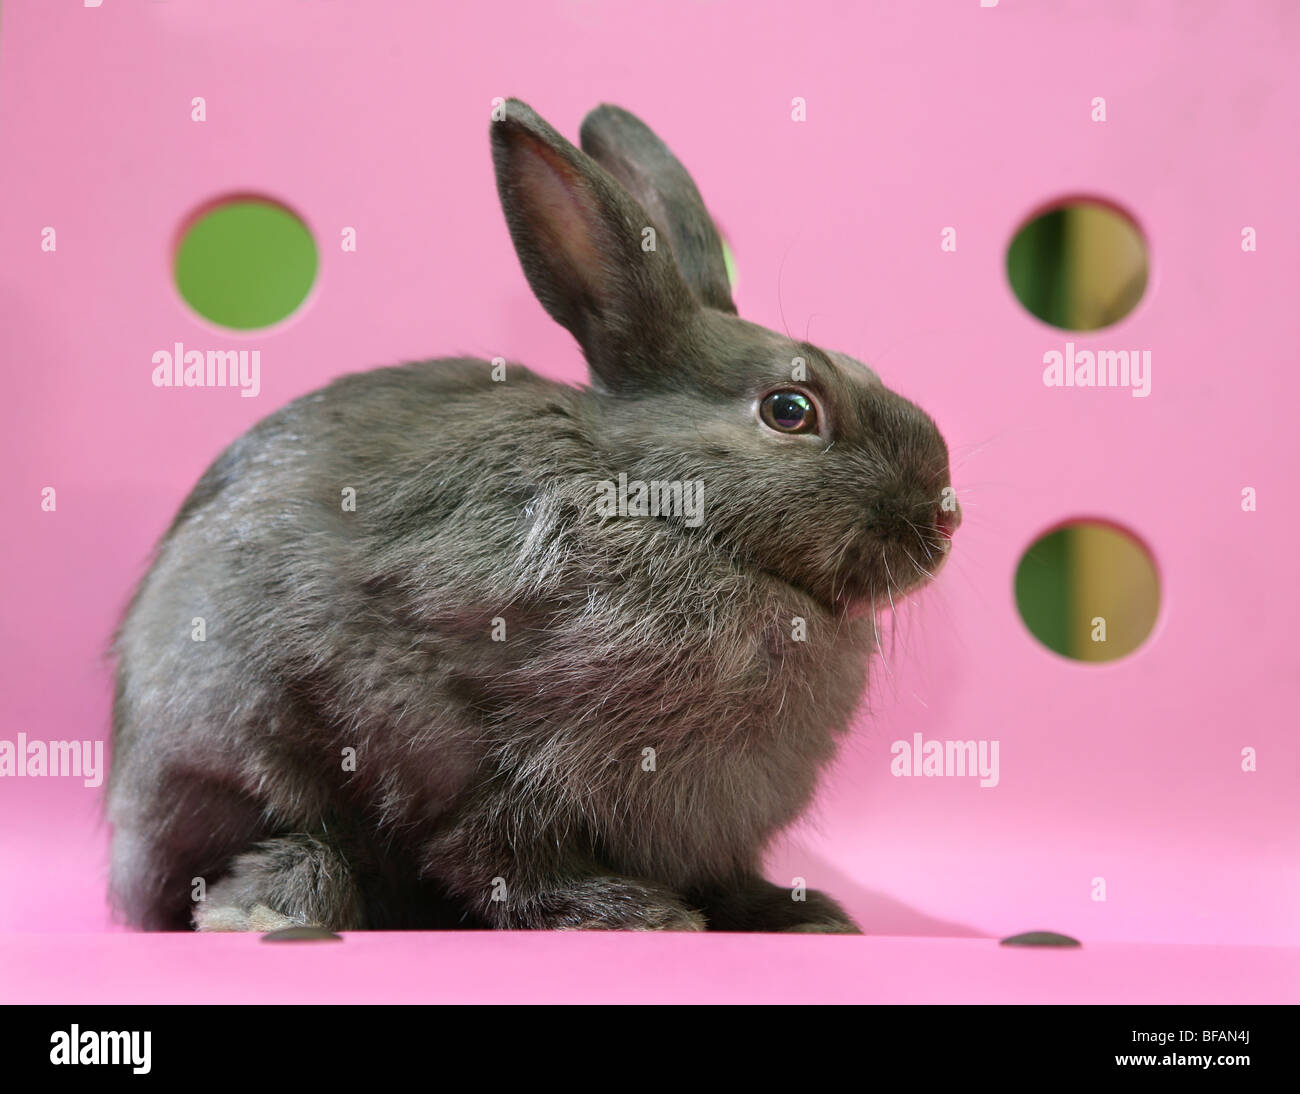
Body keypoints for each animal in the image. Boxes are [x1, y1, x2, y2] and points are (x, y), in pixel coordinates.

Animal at [109, 98, 956, 930]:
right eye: (790, 410)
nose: (943, 519)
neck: (662, 506)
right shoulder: (457, 741)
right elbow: (500, 851)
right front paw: (629, 913)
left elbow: (721, 875)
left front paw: (797, 914)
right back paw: (266, 911)